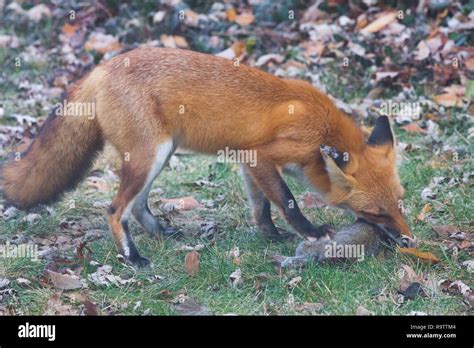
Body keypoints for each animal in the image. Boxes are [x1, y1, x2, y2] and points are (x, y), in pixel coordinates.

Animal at [1, 47, 412, 266]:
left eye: (400, 202)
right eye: (376, 213)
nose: (409, 240)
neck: (322, 128)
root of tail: (102, 67)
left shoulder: (248, 160)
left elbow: (262, 206)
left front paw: (270, 235)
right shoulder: (263, 154)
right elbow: (289, 201)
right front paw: (310, 232)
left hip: (158, 156)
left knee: (137, 205)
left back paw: (160, 233)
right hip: (150, 156)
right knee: (115, 210)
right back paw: (132, 257)